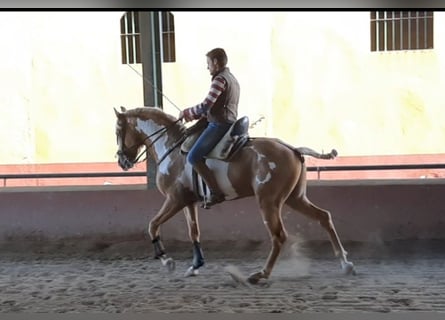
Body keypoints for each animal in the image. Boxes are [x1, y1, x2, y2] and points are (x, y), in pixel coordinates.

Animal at [113, 106, 354, 284]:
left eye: (117, 130)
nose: (122, 161)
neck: (171, 148)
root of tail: (292, 149)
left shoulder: (174, 200)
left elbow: (153, 225)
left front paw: (167, 261)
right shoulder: (188, 202)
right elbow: (194, 232)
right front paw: (195, 266)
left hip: (269, 202)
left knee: (279, 236)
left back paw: (260, 274)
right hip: (296, 198)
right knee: (323, 217)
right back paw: (345, 263)